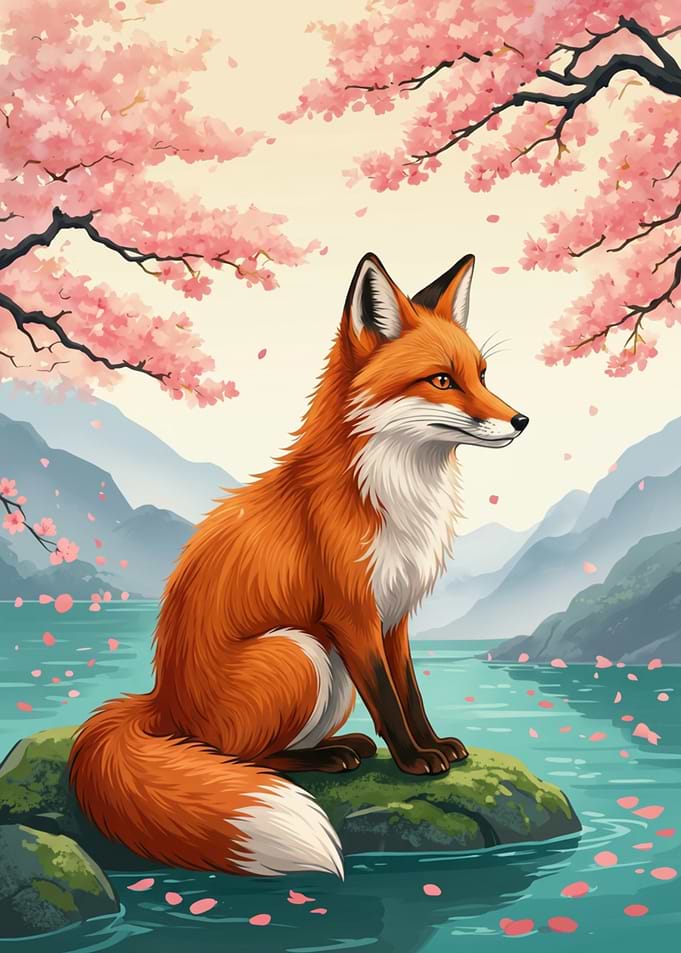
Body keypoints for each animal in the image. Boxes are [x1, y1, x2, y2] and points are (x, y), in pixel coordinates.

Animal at [69, 252, 529, 879]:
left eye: (483, 375)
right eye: (442, 380)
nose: (522, 420)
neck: (392, 494)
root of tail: (161, 703)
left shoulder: (396, 615)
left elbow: (410, 693)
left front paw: (434, 746)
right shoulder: (352, 615)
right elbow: (388, 700)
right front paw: (414, 760)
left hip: (327, 674)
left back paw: (338, 748)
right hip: (302, 651)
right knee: (240, 757)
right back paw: (325, 758)